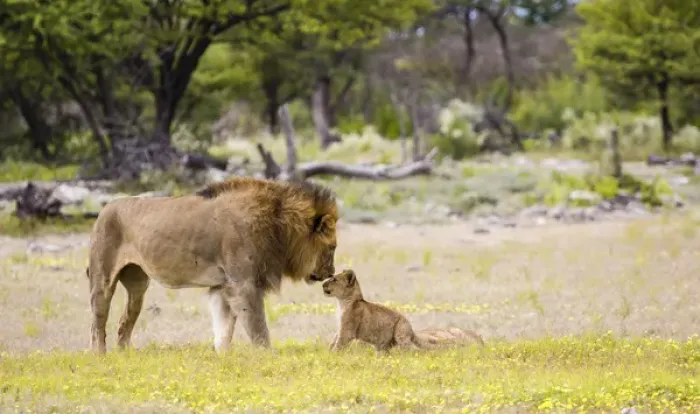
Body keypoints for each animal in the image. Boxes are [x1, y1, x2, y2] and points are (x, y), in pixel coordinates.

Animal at [86, 176, 338, 354]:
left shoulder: (223, 286)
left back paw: (125, 354)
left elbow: (224, 328)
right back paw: (100, 356)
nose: (331, 273)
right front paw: (268, 355)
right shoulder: (243, 284)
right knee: (97, 323)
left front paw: (222, 357)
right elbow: (258, 326)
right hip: (103, 278)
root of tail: (104, 209)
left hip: (138, 284)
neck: (279, 225)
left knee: (125, 319)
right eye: (333, 247)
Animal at [322, 269, 484, 352]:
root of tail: (412, 330)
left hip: (400, 333)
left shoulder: (347, 330)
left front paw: (332, 355)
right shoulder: (341, 327)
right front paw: (328, 351)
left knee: (411, 350)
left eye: (334, 279)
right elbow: (334, 339)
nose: (323, 284)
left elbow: (339, 343)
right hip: (384, 344)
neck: (342, 301)